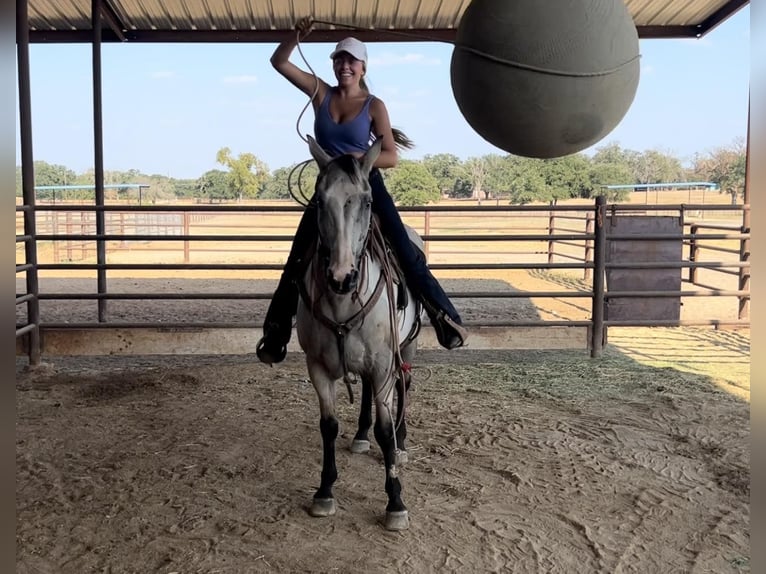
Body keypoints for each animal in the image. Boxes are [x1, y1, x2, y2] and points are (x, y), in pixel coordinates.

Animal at [296, 137, 424, 532]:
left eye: (367, 201)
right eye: (320, 201)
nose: (342, 277)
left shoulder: (383, 364)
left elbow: (385, 428)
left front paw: (396, 502)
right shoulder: (318, 367)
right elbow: (328, 425)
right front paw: (324, 492)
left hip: (407, 347)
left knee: (404, 387)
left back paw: (401, 443)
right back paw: (361, 436)